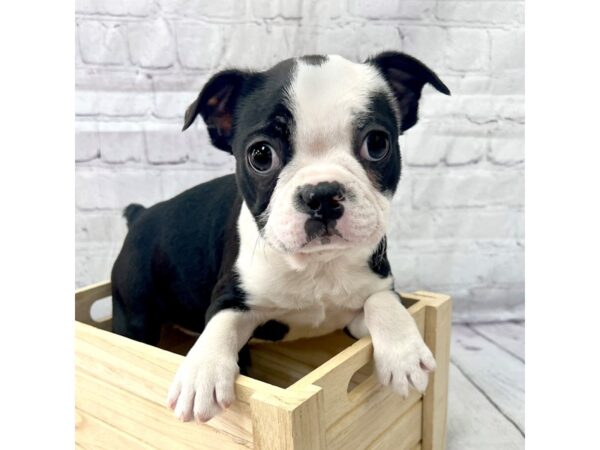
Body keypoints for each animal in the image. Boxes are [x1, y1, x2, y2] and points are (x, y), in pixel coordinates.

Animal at [111, 51, 450, 422]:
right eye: (261, 155)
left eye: (377, 144)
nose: (322, 193)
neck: (317, 265)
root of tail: (141, 214)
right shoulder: (232, 296)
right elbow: (221, 323)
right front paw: (202, 373)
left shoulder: (367, 297)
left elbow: (383, 302)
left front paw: (403, 353)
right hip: (134, 311)